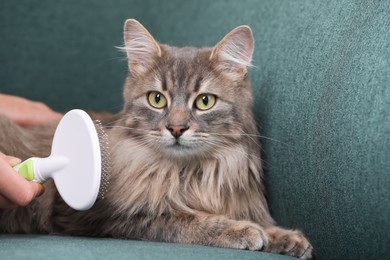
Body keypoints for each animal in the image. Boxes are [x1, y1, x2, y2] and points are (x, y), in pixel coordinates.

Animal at [0, 19, 314, 258]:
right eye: (157, 99)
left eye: (205, 102)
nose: (176, 128)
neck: (188, 174)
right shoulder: (108, 217)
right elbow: (187, 219)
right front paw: (243, 230)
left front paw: (285, 237)